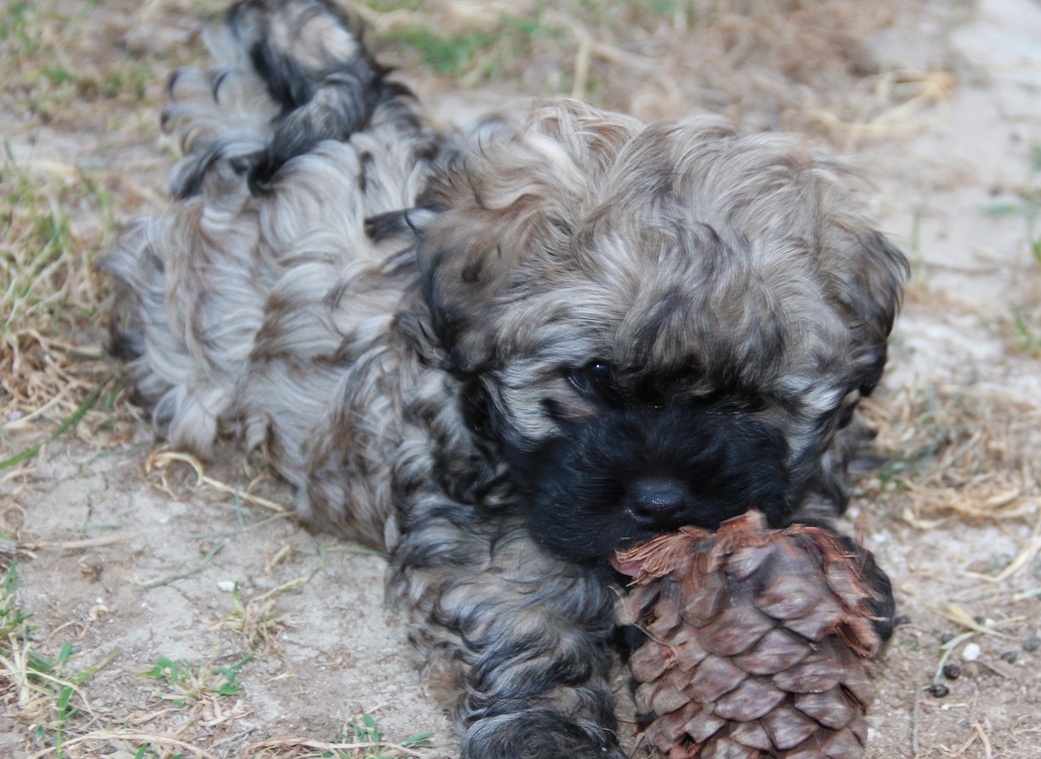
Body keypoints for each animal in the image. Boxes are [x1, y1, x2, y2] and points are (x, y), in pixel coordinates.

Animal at [101, 2, 907, 753]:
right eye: (592, 375)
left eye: (747, 398)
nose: (660, 500)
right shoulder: (482, 538)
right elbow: (529, 622)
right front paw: (545, 731)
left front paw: (835, 579)